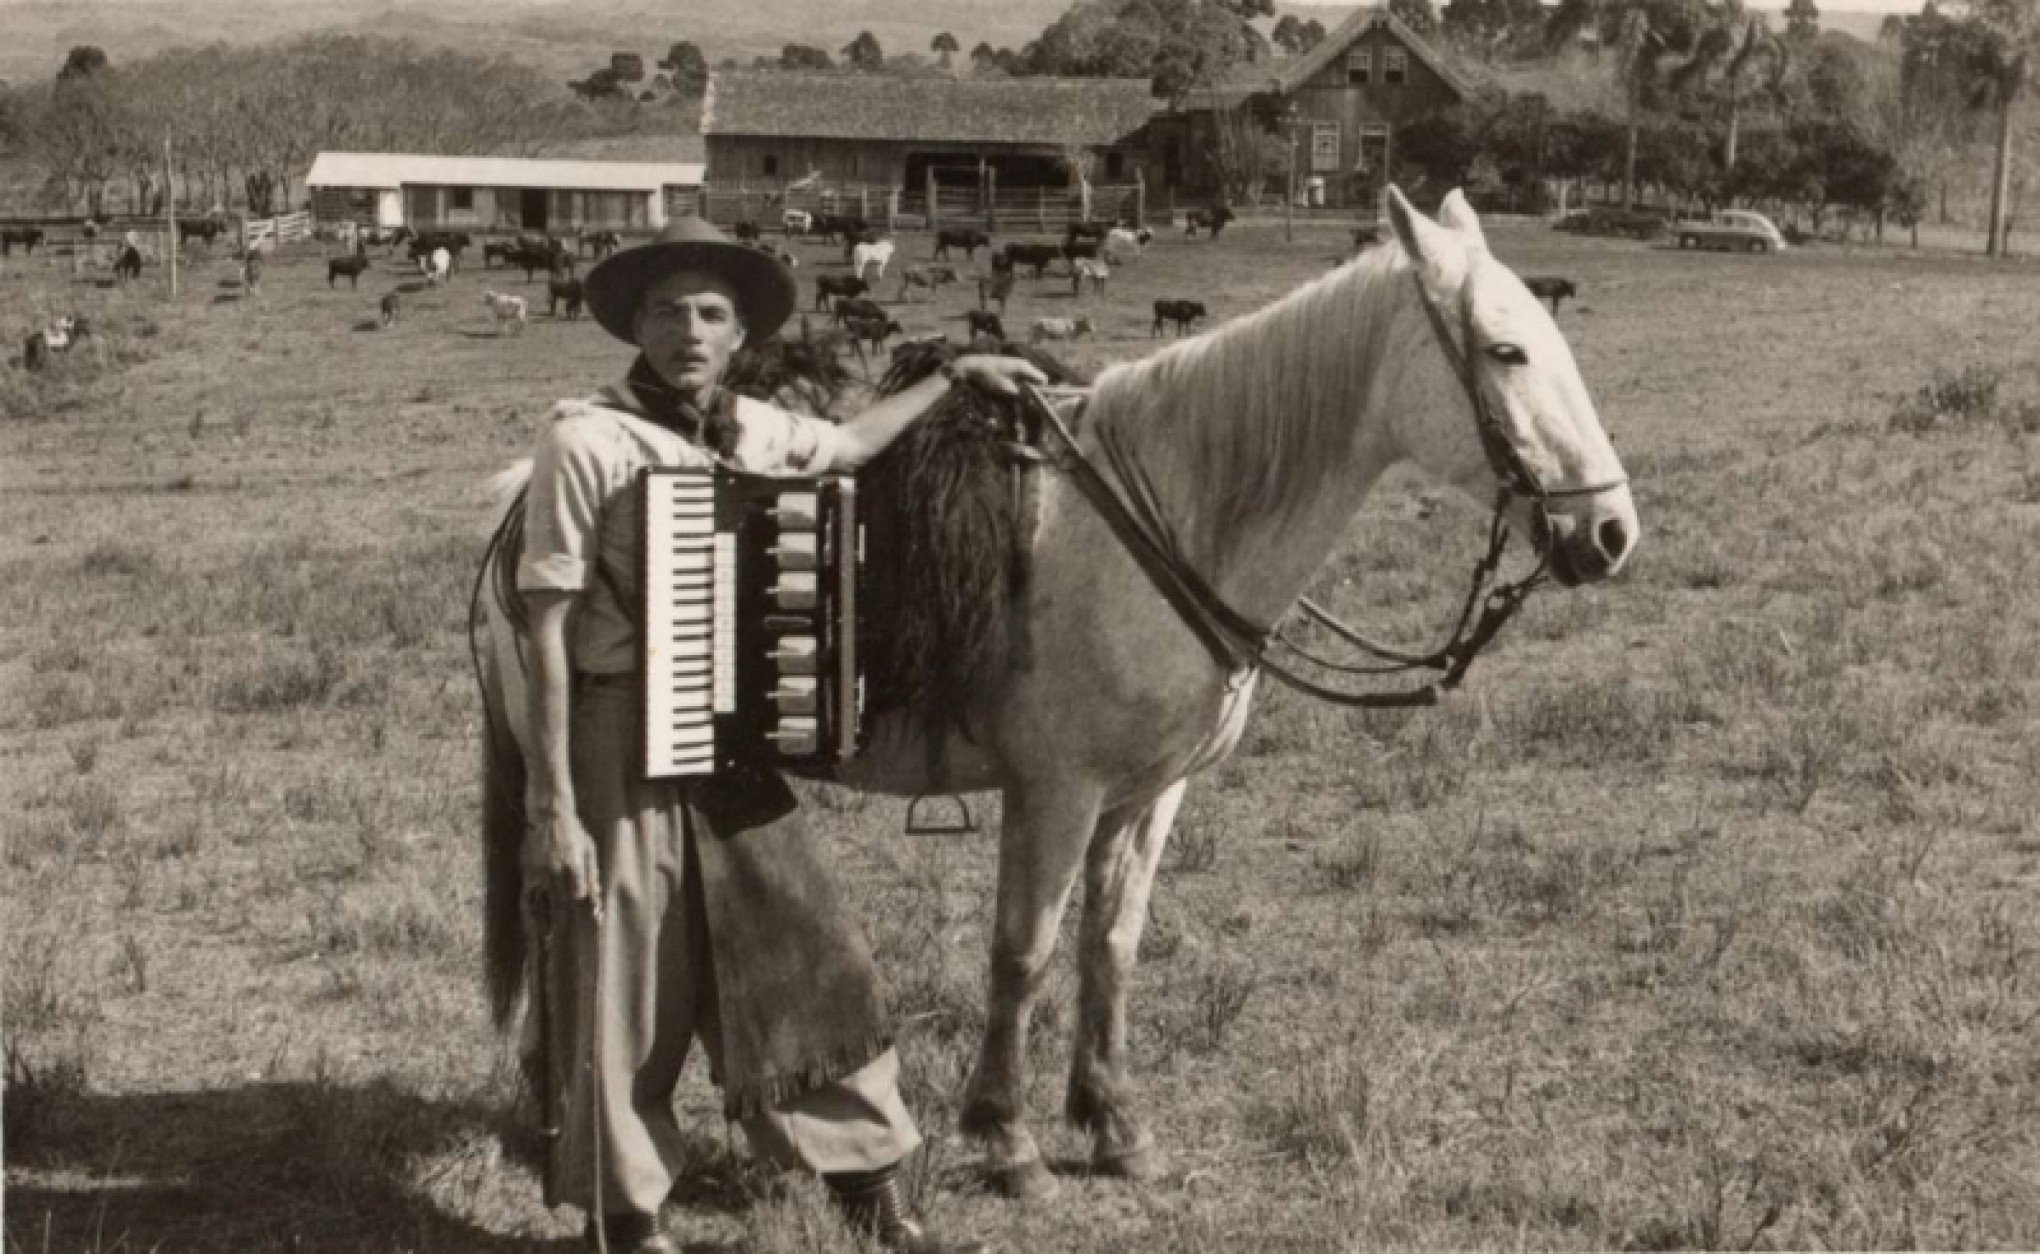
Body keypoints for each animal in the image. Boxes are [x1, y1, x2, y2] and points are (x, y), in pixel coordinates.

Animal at [469, 186, 1632, 1198]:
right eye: (1506, 350)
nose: (1610, 532)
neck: (1163, 519)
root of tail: (522, 506)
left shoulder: (1147, 795)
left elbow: (1109, 947)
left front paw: (1114, 1125)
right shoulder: (1056, 793)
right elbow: (1022, 954)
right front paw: (1008, 1139)